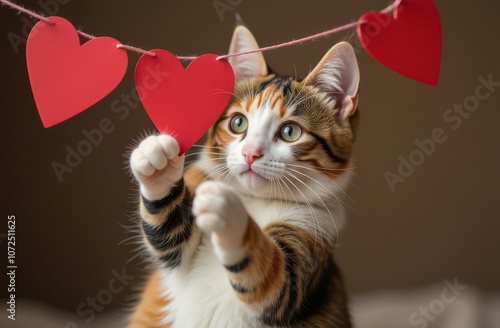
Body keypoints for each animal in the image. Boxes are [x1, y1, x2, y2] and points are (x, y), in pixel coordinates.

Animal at [130, 24, 360, 326]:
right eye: (238, 123)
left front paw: (229, 215)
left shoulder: (313, 239)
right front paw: (158, 162)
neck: (254, 199)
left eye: (290, 132)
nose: (251, 153)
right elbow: (168, 239)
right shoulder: (177, 253)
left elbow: (276, 281)